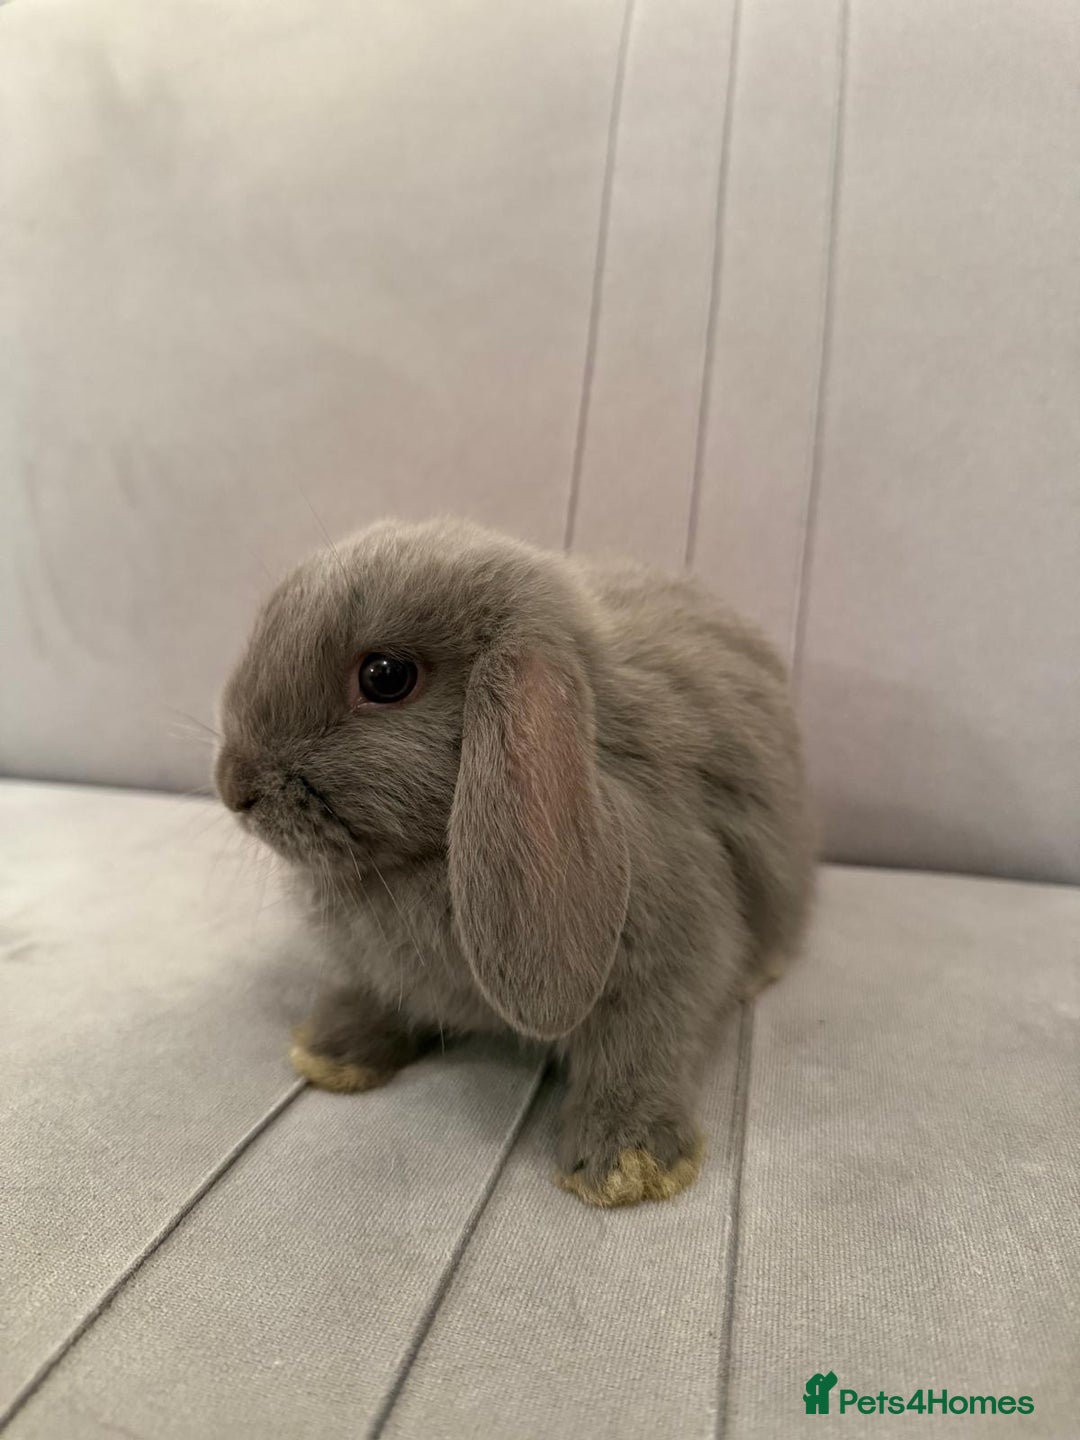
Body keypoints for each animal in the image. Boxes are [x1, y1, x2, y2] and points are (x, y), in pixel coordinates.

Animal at [214, 517, 815, 1207]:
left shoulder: (673, 954)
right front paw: (333, 1051)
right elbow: (383, 998)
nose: (232, 786)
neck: (426, 862)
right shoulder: (387, 974)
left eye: (386, 676)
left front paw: (626, 1165)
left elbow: (641, 1048)